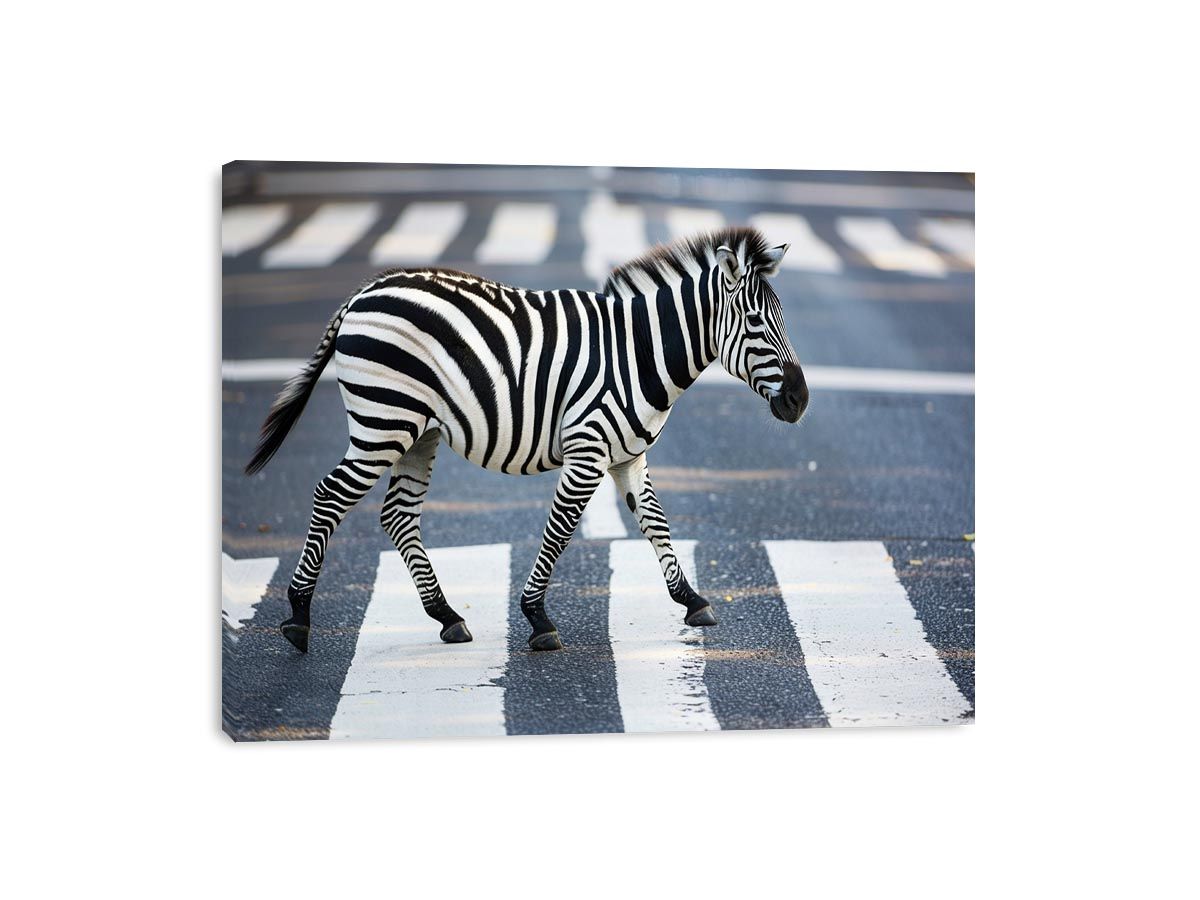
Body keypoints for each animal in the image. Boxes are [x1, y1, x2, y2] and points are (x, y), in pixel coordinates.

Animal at [245, 226, 809, 653]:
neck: (639, 354)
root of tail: (363, 292)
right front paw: (537, 618)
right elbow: (560, 531)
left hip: (419, 432)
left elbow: (657, 524)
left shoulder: (630, 457)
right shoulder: (587, 452)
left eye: (782, 319)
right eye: (755, 322)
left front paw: (692, 600)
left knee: (398, 515)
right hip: (383, 420)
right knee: (330, 496)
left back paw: (446, 616)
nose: (800, 401)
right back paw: (298, 617)